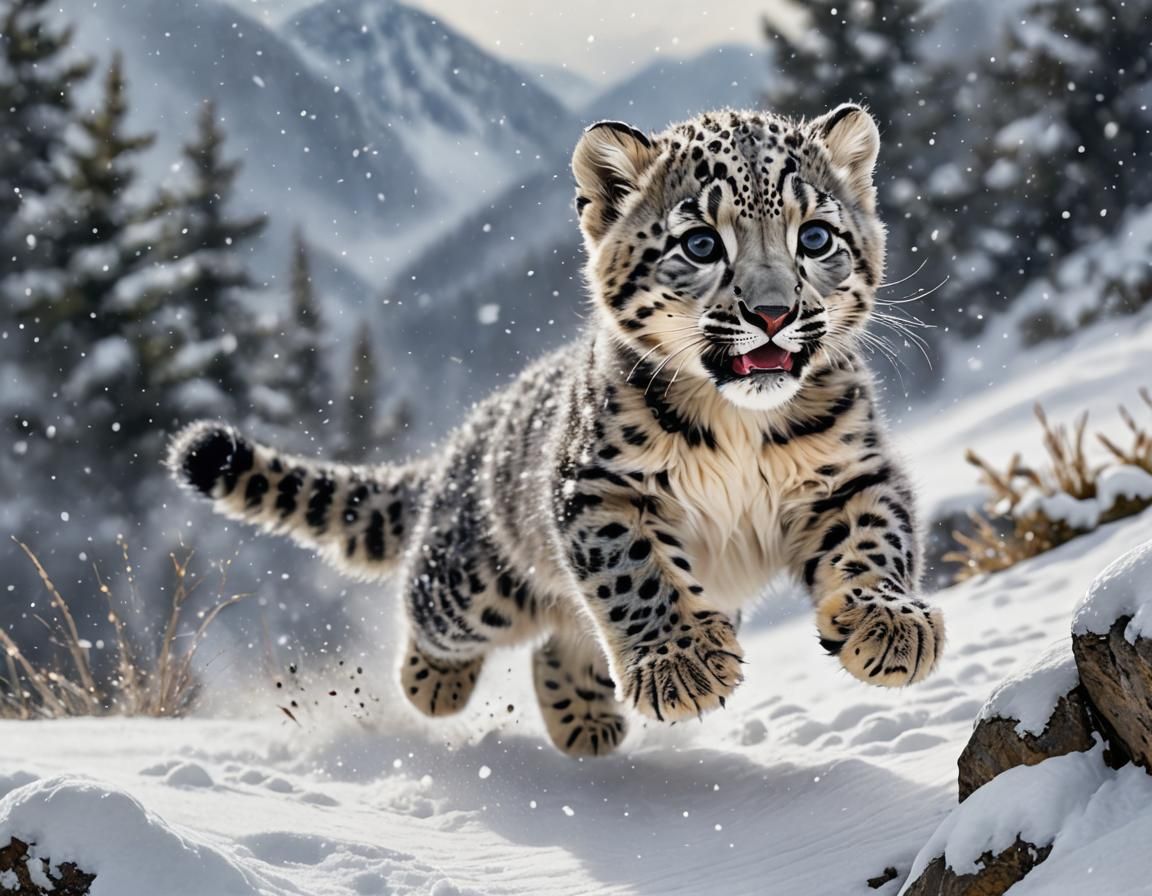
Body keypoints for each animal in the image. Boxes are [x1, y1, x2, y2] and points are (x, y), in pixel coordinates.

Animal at [166, 103, 945, 758]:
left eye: (815, 236)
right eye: (700, 244)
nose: (775, 312)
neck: (740, 427)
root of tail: (465, 438)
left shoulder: (853, 475)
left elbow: (874, 541)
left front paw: (890, 627)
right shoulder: (598, 488)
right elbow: (637, 572)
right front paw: (683, 663)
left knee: (561, 640)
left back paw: (586, 723)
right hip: (477, 582)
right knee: (433, 601)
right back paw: (435, 686)